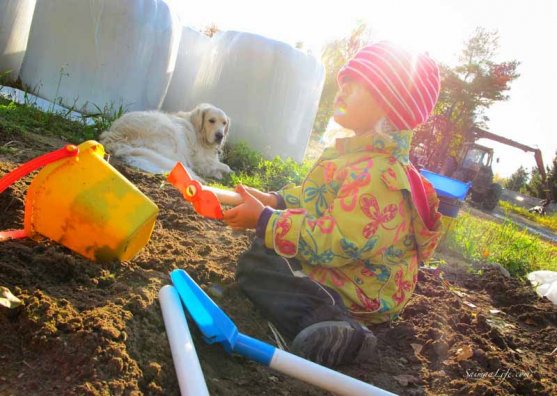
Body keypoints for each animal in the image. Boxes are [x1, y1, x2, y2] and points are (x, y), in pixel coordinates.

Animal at [99, 103, 231, 181]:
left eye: (224, 123)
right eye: (211, 120)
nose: (220, 136)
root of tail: (114, 134)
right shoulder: (200, 160)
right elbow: (226, 166)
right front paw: (223, 171)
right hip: (169, 130)